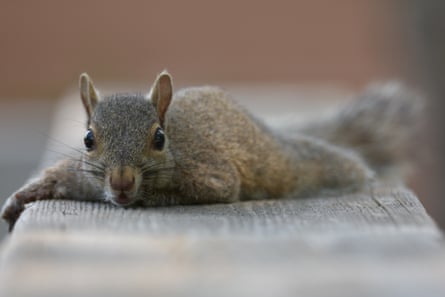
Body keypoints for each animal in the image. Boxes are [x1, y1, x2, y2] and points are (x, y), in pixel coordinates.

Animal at [0, 70, 420, 229]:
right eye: (89, 139)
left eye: (159, 138)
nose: (120, 183)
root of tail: (271, 132)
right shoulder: (83, 175)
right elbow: (58, 176)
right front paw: (20, 197)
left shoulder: (213, 175)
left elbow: (206, 189)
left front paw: (148, 199)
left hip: (301, 164)